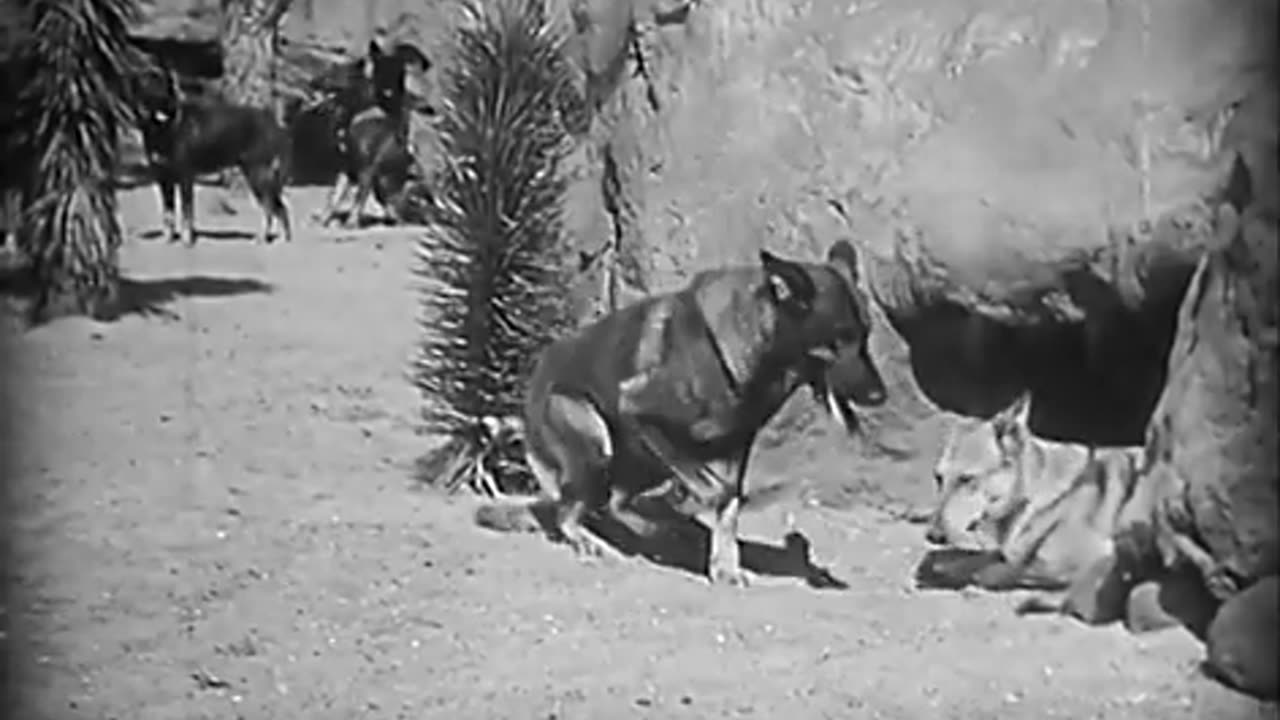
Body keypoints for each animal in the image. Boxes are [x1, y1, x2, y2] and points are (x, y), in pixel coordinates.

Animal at [475, 240, 889, 586]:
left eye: (866, 335)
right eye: (838, 340)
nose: (880, 395)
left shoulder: (736, 447)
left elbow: (729, 503)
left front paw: (724, 565)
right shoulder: (639, 413)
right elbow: (717, 490)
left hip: (639, 464)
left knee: (614, 503)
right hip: (598, 439)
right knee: (571, 513)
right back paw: (607, 538)